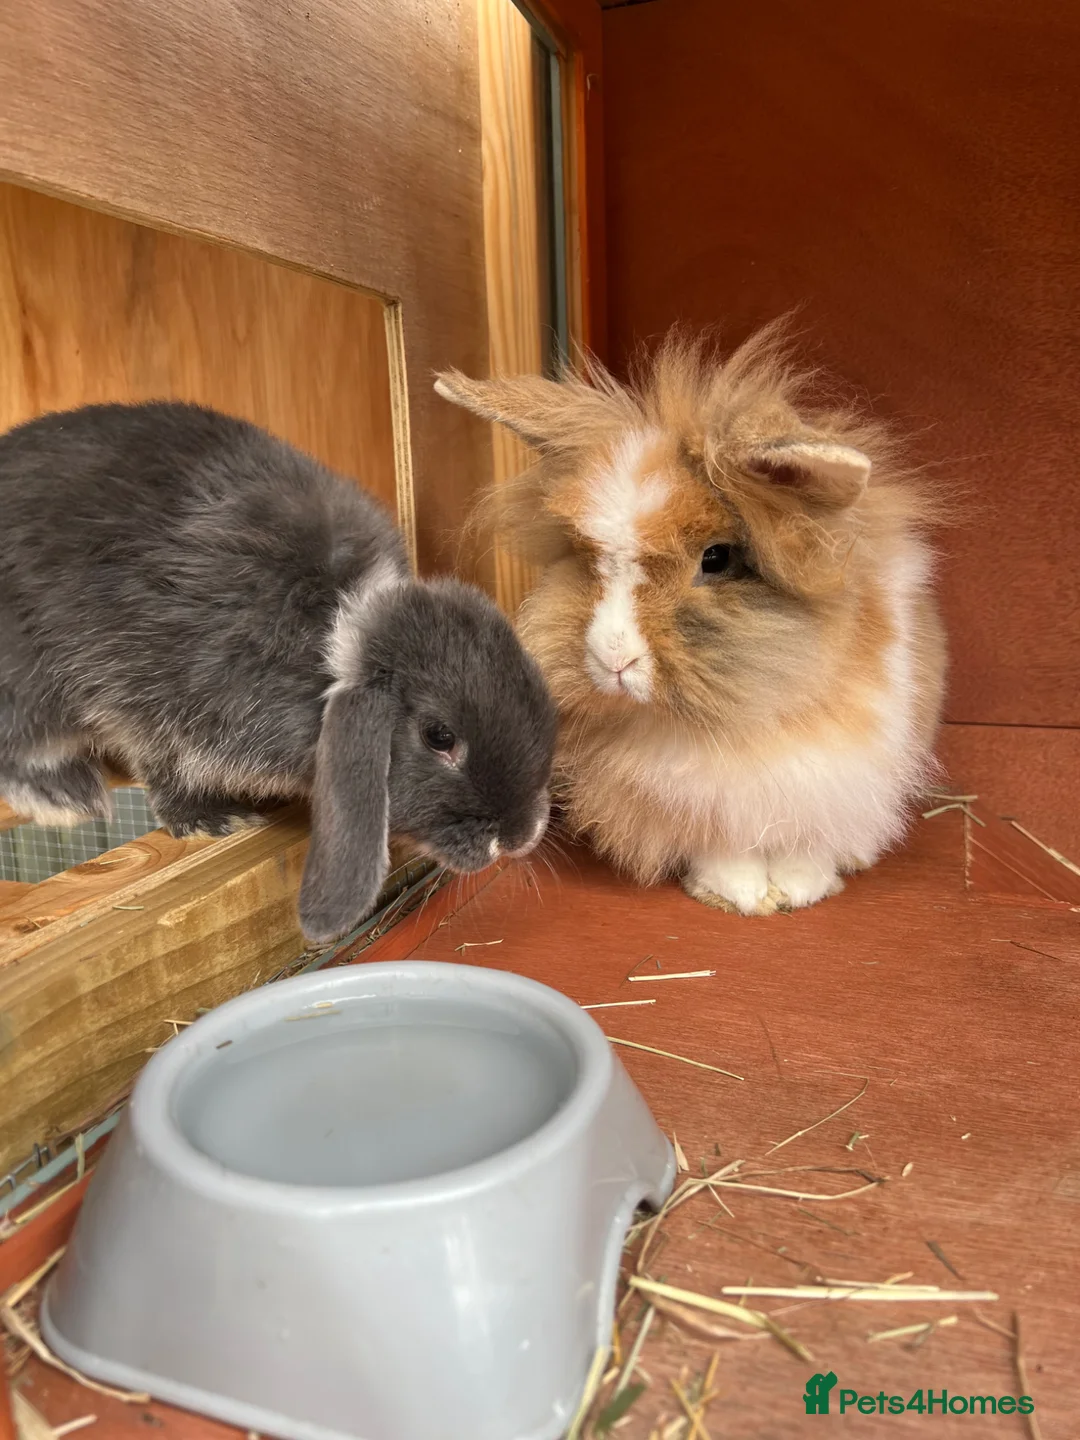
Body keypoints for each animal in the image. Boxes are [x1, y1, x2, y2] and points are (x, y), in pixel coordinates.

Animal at [0, 401, 556, 944]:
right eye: (439, 737)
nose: (520, 836)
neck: (327, 636)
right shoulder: (150, 691)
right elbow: (163, 764)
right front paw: (210, 820)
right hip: (27, 680)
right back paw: (66, 795)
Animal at [435, 321, 947, 915]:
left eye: (717, 558)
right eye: (587, 557)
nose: (612, 657)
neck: (733, 726)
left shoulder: (837, 777)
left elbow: (806, 842)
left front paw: (800, 890)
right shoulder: (702, 801)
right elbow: (723, 846)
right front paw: (739, 895)